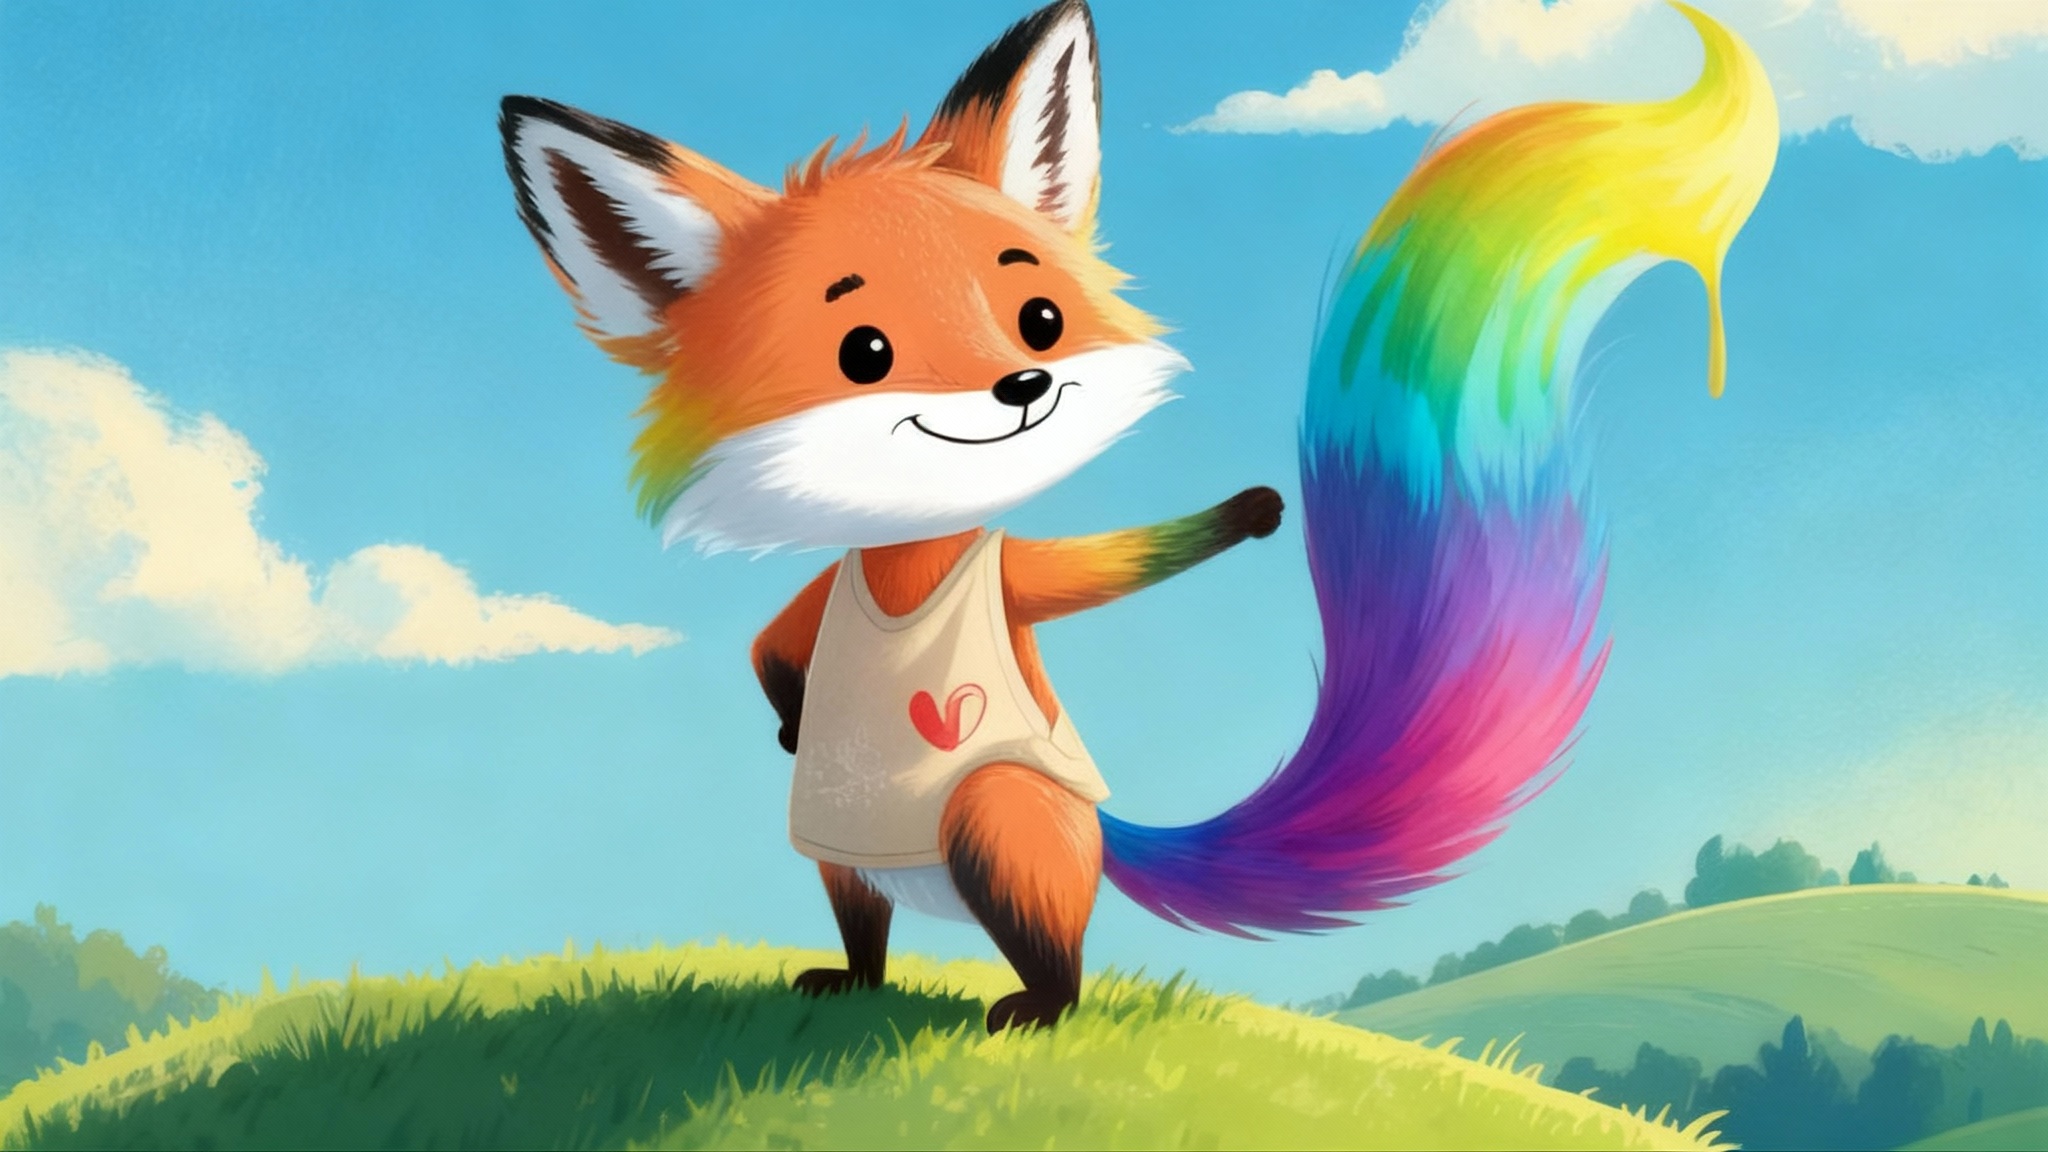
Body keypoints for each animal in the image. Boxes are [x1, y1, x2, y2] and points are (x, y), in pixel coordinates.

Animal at [499, 1, 1775, 1032]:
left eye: (1038, 318)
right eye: (862, 351)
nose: (1022, 388)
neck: (908, 572)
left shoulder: (1013, 576)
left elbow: (1118, 563)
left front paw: (1251, 510)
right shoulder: (825, 593)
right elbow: (771, 644)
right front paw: (787, 714)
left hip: (998, 813)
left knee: (1052, 952)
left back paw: (1032, 1004)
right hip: (843, 851)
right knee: (865, 928)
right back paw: (852, 980)